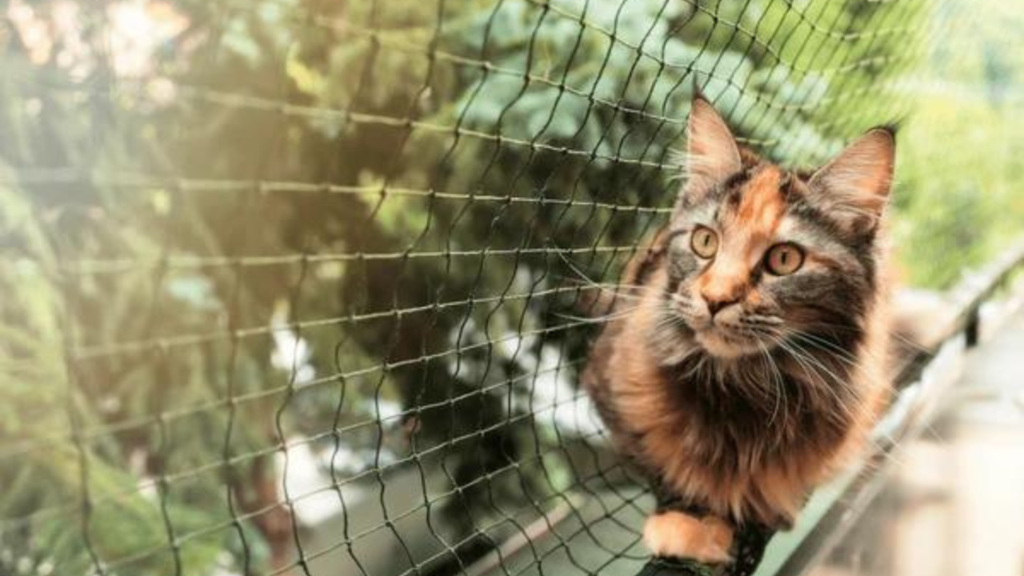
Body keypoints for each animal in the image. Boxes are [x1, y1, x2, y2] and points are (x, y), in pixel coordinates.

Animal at [585, 93, 897, 565]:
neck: (744, 387)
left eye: (784, 259)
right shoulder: (616, 400)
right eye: (705, 242)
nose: (716, 299)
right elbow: (666, 471)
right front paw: (687, 524)